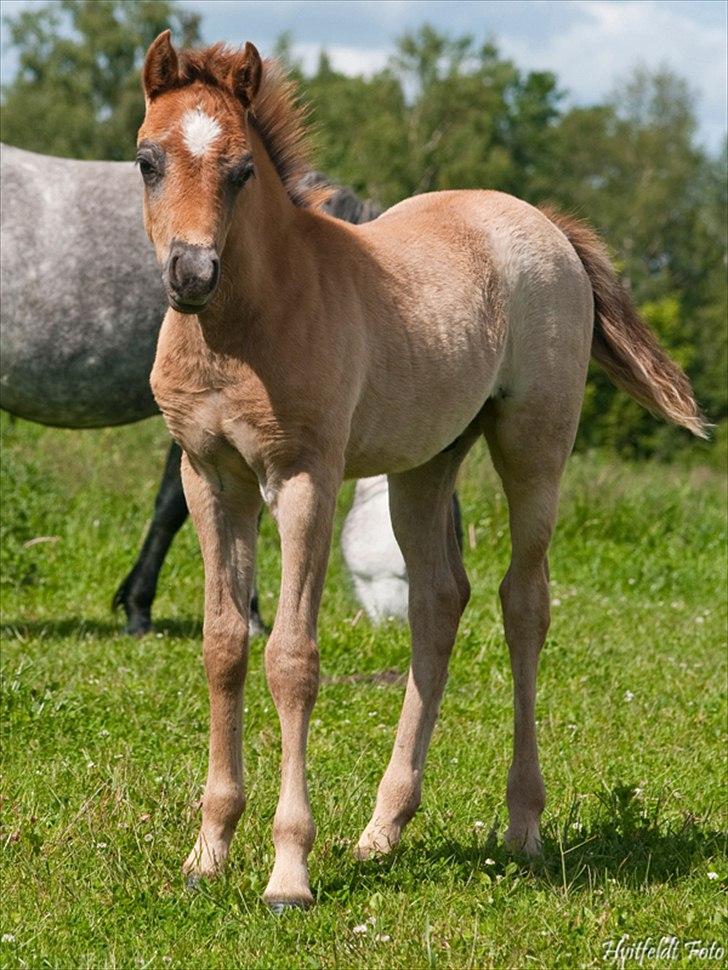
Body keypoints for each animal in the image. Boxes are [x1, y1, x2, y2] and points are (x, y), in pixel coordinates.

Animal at [137, 33, 706, 910]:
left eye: (241, 170)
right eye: (148, 161)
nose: (192, 274)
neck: (245, 328)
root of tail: (544, 222)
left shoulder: (305, 477)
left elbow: (293, 659)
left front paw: (288, 872)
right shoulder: (210, 476)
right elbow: (224, 646)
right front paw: (208, 852)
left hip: (535, 444)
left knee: (523, 603)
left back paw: (523, 824)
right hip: (426, 464)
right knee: (439, 602)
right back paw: (383, 828)